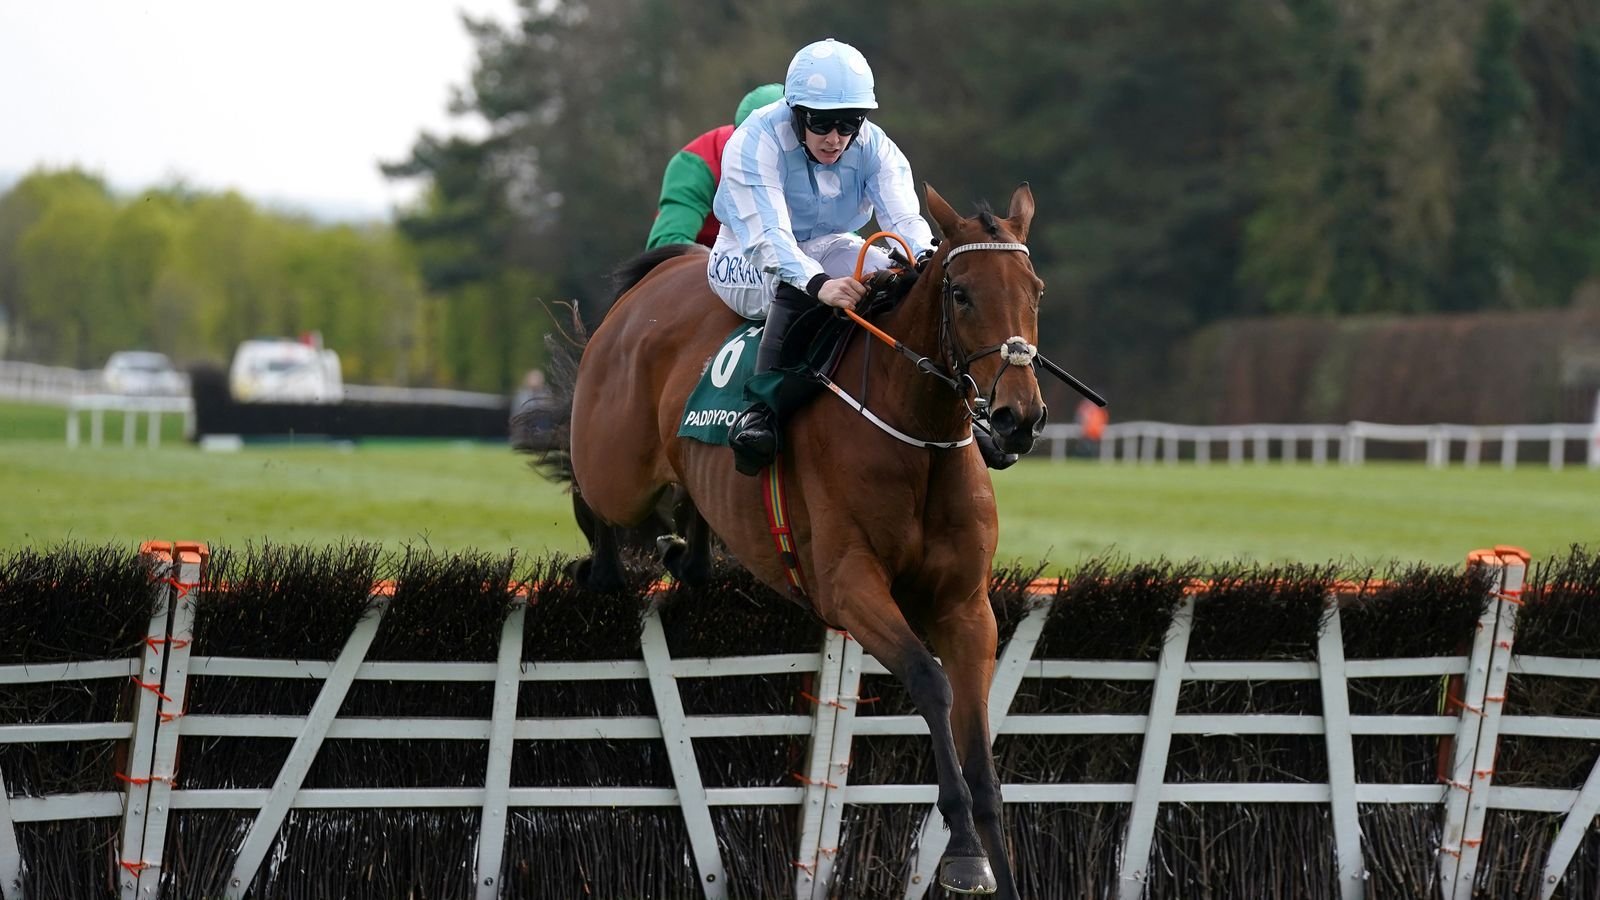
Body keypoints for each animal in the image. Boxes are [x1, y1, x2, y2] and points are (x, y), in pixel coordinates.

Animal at [569, 180, 1043, 890]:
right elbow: (929, 679)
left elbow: (978, 737)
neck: (917, 434)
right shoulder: (848, 586)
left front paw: (981, 857)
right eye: (961, 293)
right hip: (616, 466)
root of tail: (665, 271)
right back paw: (599, 570)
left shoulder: (965, 606)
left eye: (1035, 289)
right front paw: (960, 844)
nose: (1019, 417)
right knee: (591, 495)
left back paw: (685, 555)